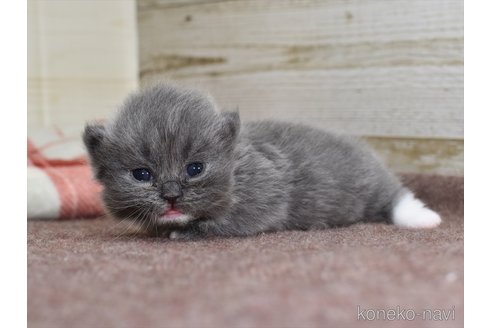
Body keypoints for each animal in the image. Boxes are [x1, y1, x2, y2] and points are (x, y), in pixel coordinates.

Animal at [83, 83, 442, 240]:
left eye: (194, 168)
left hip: (371, 185)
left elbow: (223, 224)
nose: (171, 194)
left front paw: (188, 232)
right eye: (142, 174)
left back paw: (424, 218)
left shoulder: (266, 196)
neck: (236, 169)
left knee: (395, 197)